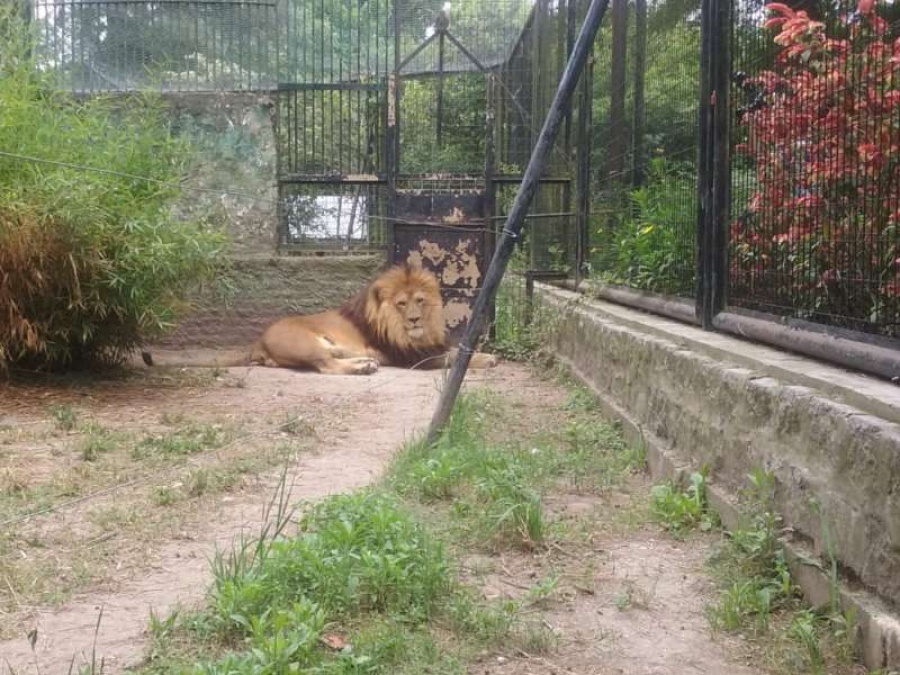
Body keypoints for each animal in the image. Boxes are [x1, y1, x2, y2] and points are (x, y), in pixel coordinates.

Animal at [247, 264, 498, 375]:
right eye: (402, 303)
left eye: (420, 300)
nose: (415, 319)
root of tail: (258, 343)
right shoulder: (414, 358)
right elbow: (452, 357)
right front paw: (487, 359)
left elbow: (457, 350)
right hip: (305, 344)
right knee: (326, 365)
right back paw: (364, 367)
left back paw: (365, 362)